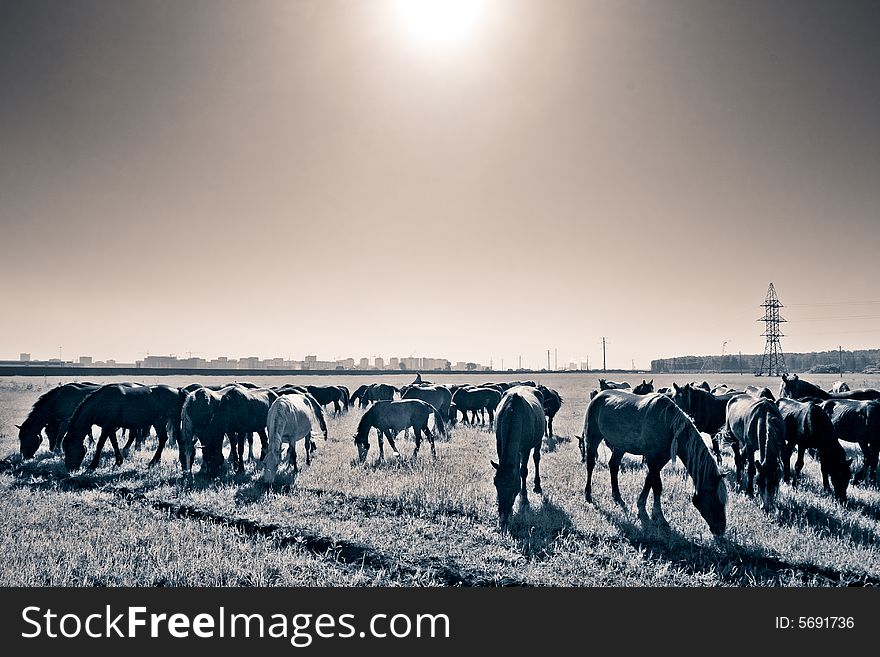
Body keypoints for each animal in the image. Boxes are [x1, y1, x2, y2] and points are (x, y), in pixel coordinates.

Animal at [492, 386, 548, 524]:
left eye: (510, 485)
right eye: (495, 483)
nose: (503, 515)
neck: (513, 415)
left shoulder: (526, 448)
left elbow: (523, 471)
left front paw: (524, 498)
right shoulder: (499, 444)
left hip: (538, 441)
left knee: (536, 458)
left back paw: (537, 485)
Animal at [580, 390, 724, 532]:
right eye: (714, 498)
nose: (721, 530)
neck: (668, 424)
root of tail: (598, 395)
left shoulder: (659, 460)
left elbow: (650, 482)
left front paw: (644, 508)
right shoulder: (653, 459)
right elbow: (656, 485)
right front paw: (658, 515)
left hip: (620, 447)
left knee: (613, 466)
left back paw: (617, 496)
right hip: (593, 438)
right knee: (590, 465)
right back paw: (588, 494)